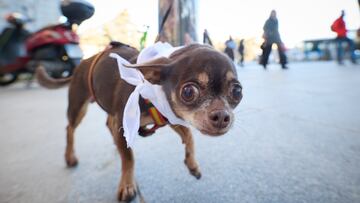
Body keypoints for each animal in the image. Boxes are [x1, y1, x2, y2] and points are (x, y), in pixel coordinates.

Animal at [36, 42, 243, 201]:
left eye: (237, 92)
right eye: (188, 91)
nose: (222, 116)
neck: (150, 90)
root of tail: (81, 64)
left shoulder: (171, 116)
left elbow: (189, 136)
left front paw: (192, 164)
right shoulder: (125, 122)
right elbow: (129, 158)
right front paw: (127, 186)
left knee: (107, 124)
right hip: (78, 107)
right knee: (70, 128)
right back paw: (70, 156)